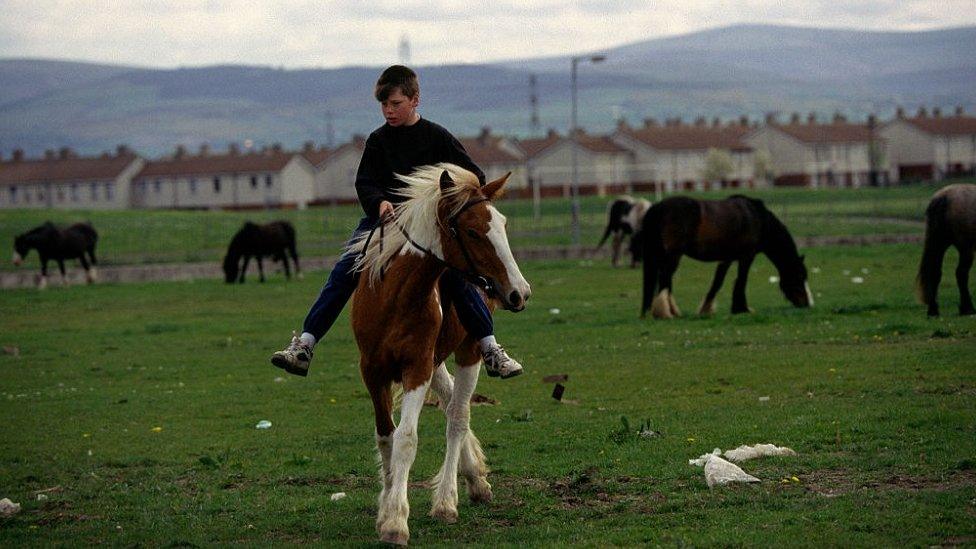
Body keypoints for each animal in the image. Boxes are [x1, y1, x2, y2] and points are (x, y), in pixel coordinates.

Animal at [348, 163, 532, 544]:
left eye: (503, 225)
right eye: (473, 231)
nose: (520, 292)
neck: (395, 295)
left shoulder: (417, 366)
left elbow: (406, 439)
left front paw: (395, 521)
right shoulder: (372, 371)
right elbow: (386, 436)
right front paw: (386, 506)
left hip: (468, 352)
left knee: (457, 417)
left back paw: (448, 501)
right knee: (449, 405)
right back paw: (475, 478)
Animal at [916, 182, 976, 314]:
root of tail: (944, 196)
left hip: (939, 244)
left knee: (935, 272)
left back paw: (933, 310)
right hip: (965, 247)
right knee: (961, 273)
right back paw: (967, 308)